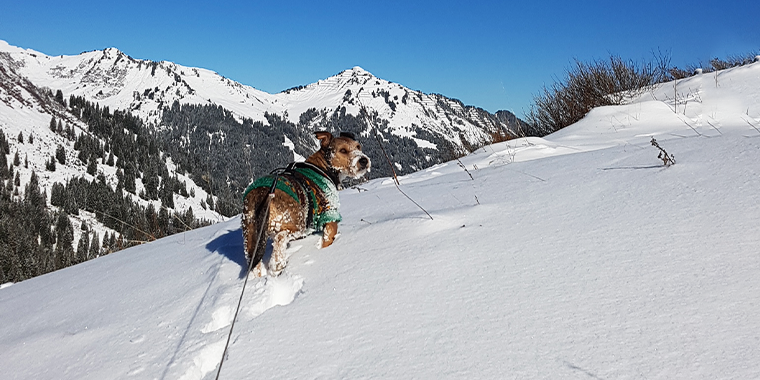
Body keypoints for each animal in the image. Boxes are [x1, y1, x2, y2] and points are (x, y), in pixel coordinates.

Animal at [242, 131, 370, 276]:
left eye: (358, 146)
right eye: (343, 150)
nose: (364, 160)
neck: (323, 168)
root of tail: (261, 193)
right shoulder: (330, 214)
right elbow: (328, 238)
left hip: (250, 235)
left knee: (254, 262)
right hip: (296, 222)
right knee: (280, 238)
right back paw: (277, 265)